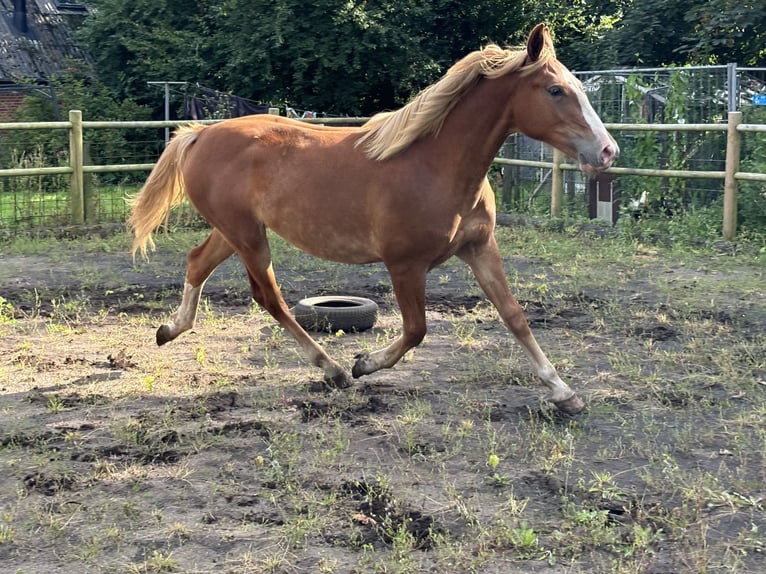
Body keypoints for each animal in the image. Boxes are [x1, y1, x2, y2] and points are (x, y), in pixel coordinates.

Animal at [127, 25, 616, 414]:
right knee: (269, 297)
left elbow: (514, 315)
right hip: (248, 237)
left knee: (197, 263)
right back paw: (333, 370)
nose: (608, 151)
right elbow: (417, 329)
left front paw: (564, 392)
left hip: (234, 231)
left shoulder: (479, 248)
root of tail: (200, 133)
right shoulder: (405, 265)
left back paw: (169, 330)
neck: (436, 164)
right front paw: (365, 364)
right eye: (555, 91)